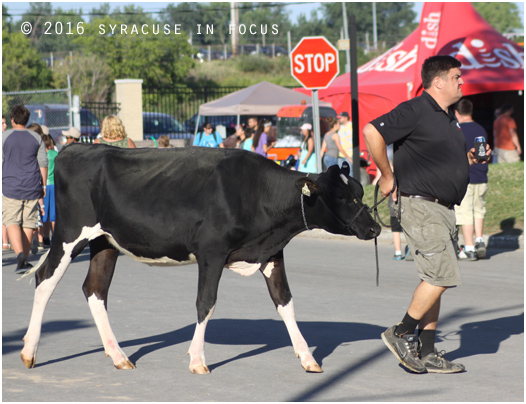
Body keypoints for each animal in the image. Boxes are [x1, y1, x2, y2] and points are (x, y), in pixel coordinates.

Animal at [20, 144, 382, 374]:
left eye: (359, 192)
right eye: (342, 197)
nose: (375, 227)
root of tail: (78, 147)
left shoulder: (271, 252)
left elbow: (286, 304)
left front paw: (308, 358)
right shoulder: (212, 252)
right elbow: (205, 303)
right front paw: (197, 361)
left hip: (105, 241)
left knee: (95, 290)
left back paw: (119, 355)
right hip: (70, 233)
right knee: (45, 279)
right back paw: (28, 351)